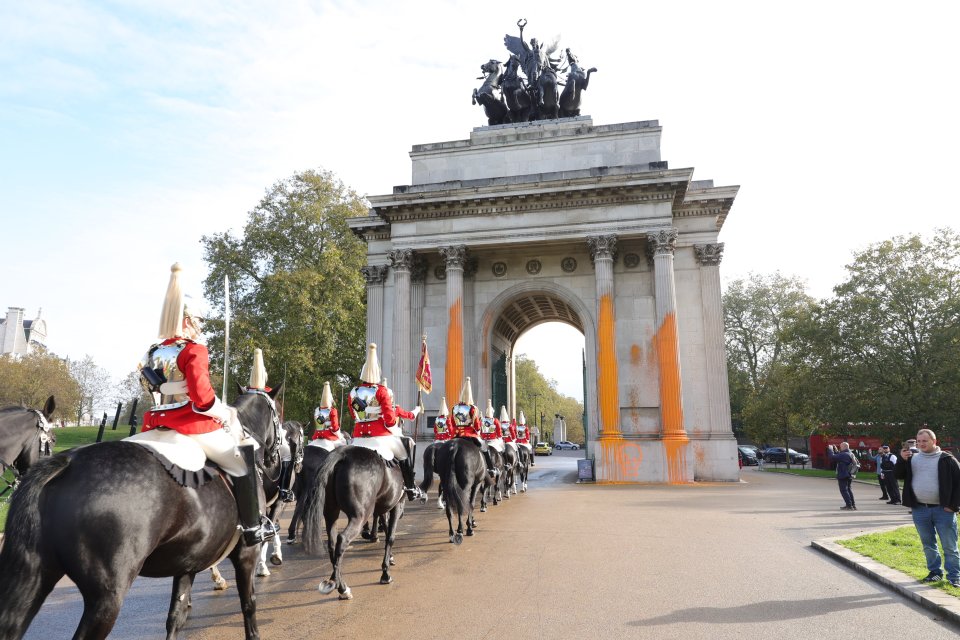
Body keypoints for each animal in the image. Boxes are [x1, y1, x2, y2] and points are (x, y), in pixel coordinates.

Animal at [0, 384, 284, 640]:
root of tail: (67, 462)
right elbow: (249, 605)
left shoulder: (188, 565)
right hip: (107, 599)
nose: (277, 458)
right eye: (279, 415)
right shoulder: (246, 553)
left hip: (38, 576)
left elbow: (176, 617)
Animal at [302, 444, 404, 600]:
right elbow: (390, 537)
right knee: (342, 539)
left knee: (333, 545)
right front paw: (385, 573)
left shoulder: (382, 509)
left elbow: (386, 530)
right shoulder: (396, 506)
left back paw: (337, 581)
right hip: (359, 516)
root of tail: (343, 453)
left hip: (331, 513)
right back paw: (342, 589)